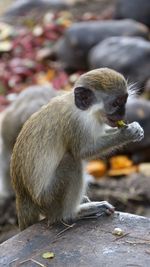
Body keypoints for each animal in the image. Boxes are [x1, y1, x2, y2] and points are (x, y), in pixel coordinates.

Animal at [10, 68, 144, 231]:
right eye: (116, 103)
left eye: (124, 101)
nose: (122, 114)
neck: (82, 110)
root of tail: (23, 197)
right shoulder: (75, 123)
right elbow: (83, 151)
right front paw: (128, 133)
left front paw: (135, 128)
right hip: (49, 199)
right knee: (72, 161)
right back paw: (72, 213)